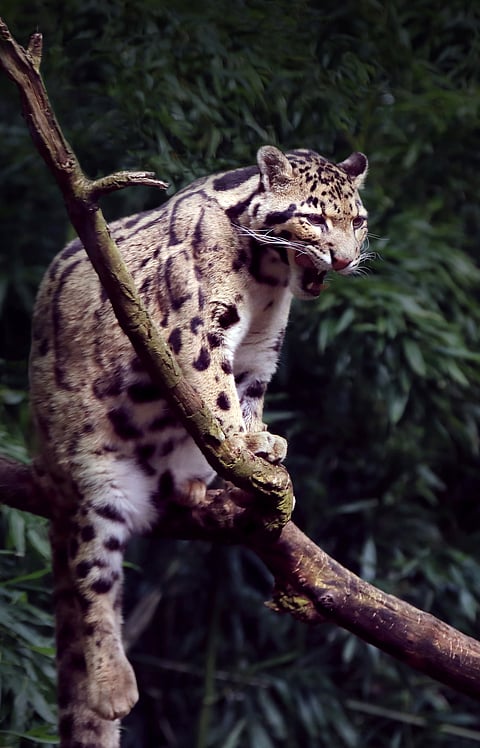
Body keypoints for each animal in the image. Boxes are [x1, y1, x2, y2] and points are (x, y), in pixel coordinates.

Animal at [29, 145, 368, 747]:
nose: (346, 260)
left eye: (359, 220)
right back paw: (113, 685)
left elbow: (247, 394)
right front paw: (246, 444)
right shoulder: (195, 330)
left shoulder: (261, 349)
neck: (267, 280)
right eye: (314, 218)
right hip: (96, 480)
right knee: (94, 579)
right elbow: (217, 392)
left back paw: (190, 485)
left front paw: (260, 441)